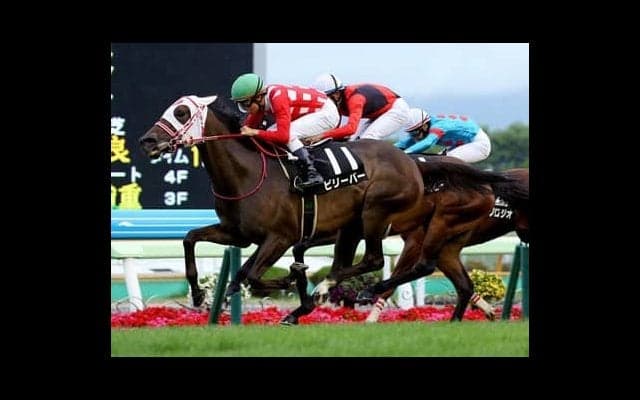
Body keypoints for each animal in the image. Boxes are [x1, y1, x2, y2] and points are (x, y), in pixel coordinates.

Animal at [139, 94, 516, 324]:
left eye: (182, 112)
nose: (147, 140)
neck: (248, 171)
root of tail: (411, 163)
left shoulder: (280, 237)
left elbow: (254, 274)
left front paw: (291, 281)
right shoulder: (240, 233)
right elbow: (192, 239)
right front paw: (199, 294)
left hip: (384, 216)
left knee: (380, 261)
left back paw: (347, 290)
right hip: (363, 230)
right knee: (443, 276)